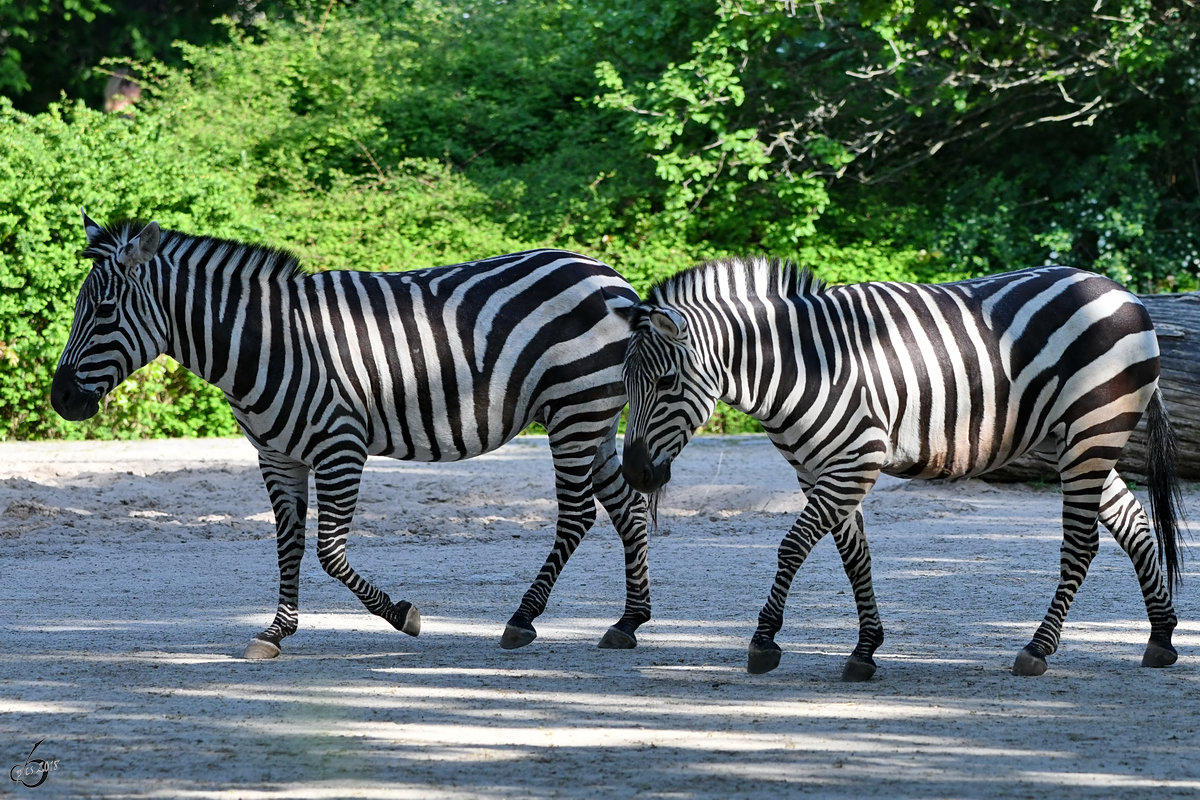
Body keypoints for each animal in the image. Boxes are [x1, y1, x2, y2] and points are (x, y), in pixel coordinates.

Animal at [54, 215, 657, 662]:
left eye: (103, 310)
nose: (60, 400)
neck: (267, 342)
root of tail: (612, 278)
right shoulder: (276, 456)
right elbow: (289, 545)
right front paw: (275, 632)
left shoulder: (340, 445)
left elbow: (328, 552)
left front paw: (403, 615)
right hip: (594, 416)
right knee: (626, 508)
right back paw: (628, 622)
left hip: (575, 408)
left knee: (578, 514)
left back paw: (523, 619)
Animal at [614, 257, 1185, 681]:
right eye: (624, 383)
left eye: (665, 383)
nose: (637, 475)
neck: (803, 367)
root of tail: (1122, 291)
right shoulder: (818, 469)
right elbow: (854, 559)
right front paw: (865, 648)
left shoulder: (855, 461)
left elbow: (793, 545)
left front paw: (764, 639)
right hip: (1078, 438)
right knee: (1133, 522)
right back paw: (1161, 637)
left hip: (1094, 427)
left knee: (1083, 542)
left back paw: (1039, 648)